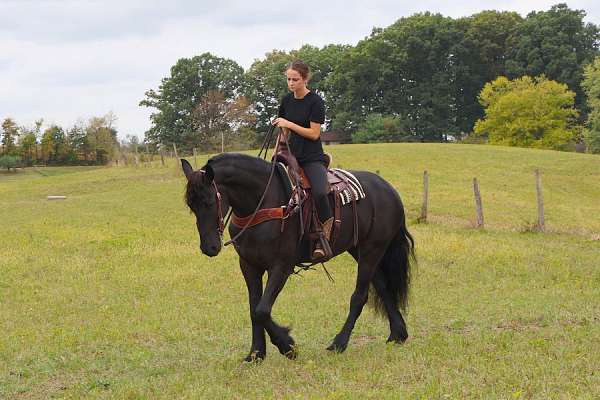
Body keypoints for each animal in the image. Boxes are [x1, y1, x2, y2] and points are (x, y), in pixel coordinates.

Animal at [180, 152, 414, 360]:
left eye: (209, 201)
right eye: (191, 205)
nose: (209, 247)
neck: (263, 202)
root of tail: (388, 189)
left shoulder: (281, 267)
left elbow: (262, 310)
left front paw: (288, 346)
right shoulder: (249, 266)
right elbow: (254, 308)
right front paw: (256, 353)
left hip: (372, 249)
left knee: (360, 296)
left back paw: (339, 343)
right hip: (360, 249)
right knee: (382, 286)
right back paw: (398, 334)